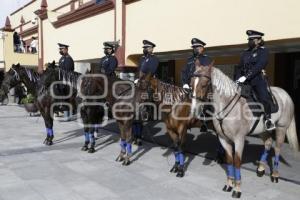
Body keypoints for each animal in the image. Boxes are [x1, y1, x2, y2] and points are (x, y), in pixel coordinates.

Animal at [190, 63, 298, 198]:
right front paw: (229, 184)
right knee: (268, 143)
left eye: (204, 84)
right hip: (262, 130)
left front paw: (237, 189)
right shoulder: (223, 139)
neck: (227, 105)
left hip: (281, 128)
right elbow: (229, 160)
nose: (194, 110)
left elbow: (237, 162)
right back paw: (261, 168)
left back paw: (275, 175)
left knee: (277, 148)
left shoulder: (239, 140)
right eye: (191, 83)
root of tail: (285, 93)